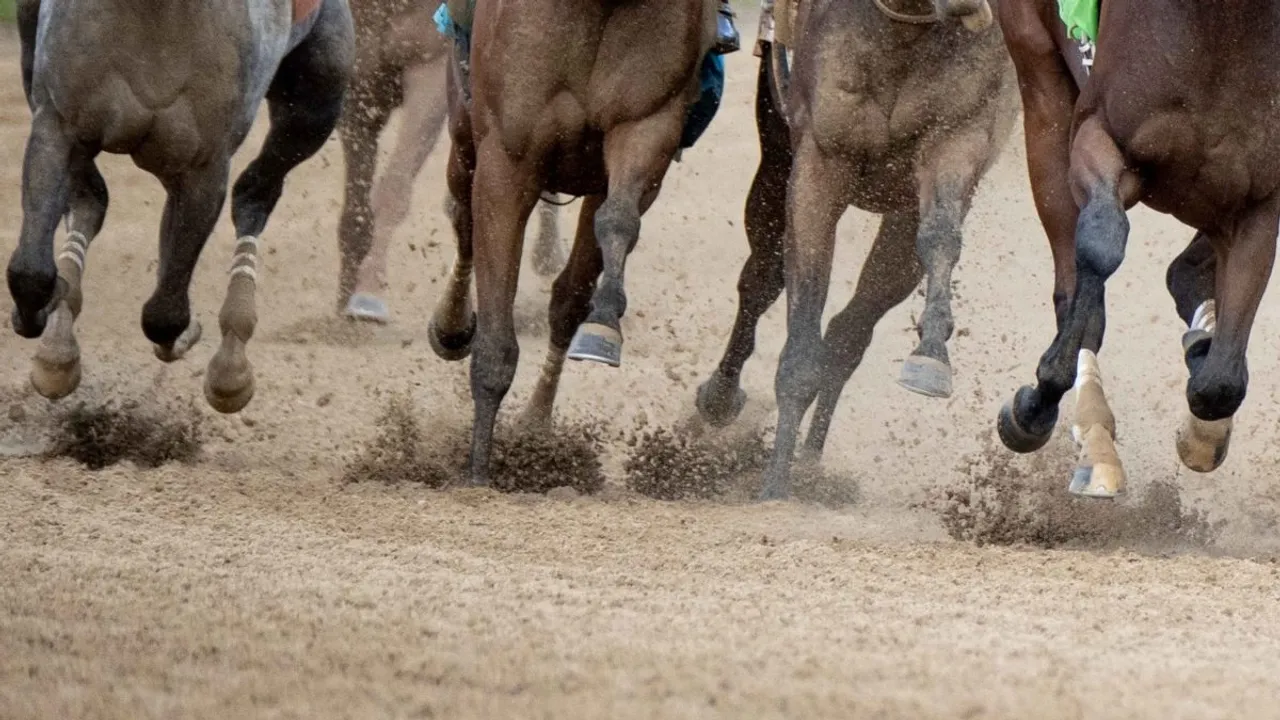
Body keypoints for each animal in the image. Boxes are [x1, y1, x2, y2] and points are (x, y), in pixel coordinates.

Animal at [7, 0, 354, 414]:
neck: (155, 13)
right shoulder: (59, 126)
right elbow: (30, 273)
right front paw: (37, 318)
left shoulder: (204, 167)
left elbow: (165, 314)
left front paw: (187, 337)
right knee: (91, 201)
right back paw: (57, 348)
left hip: (315, 102)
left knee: (253, 195)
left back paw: (231, 365)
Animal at [336, 0, 567, 324]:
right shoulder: (359, 81)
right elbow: (356, 207)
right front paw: (345, 293)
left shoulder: (429, 68)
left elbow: (393, 191)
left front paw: (368, 294)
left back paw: (547, 254)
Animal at [427, 0, 723, 485]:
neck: (600, 5)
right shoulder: (507, 159)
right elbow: (495, 340)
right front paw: (477, 474)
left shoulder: (647, 126)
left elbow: (618, 221)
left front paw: (603, 327)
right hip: (463, 130)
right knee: (463, 218)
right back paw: (451, 327)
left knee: (567, 297)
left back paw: (536, 424)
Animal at [696, 0, 1018, 499]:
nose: (965, 6)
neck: (904, 32)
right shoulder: (817, 164)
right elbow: (799, 334)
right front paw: (774, 486)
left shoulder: (958, 139)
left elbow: (940, 237)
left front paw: (931, 356)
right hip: (776, 154)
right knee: (761, 278)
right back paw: (721, 398)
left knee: (850, 331)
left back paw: (810, 465)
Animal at [994, 1, 1277, 499]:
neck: (1224, 28)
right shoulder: (1100, 135)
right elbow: (1101, 243)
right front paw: (1034, 403)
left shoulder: (1258, 201)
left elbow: (1221, 382)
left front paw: (1202, 433)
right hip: (1039, 81)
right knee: (1075, 288)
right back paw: (1089, 439)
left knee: (1184, 277)